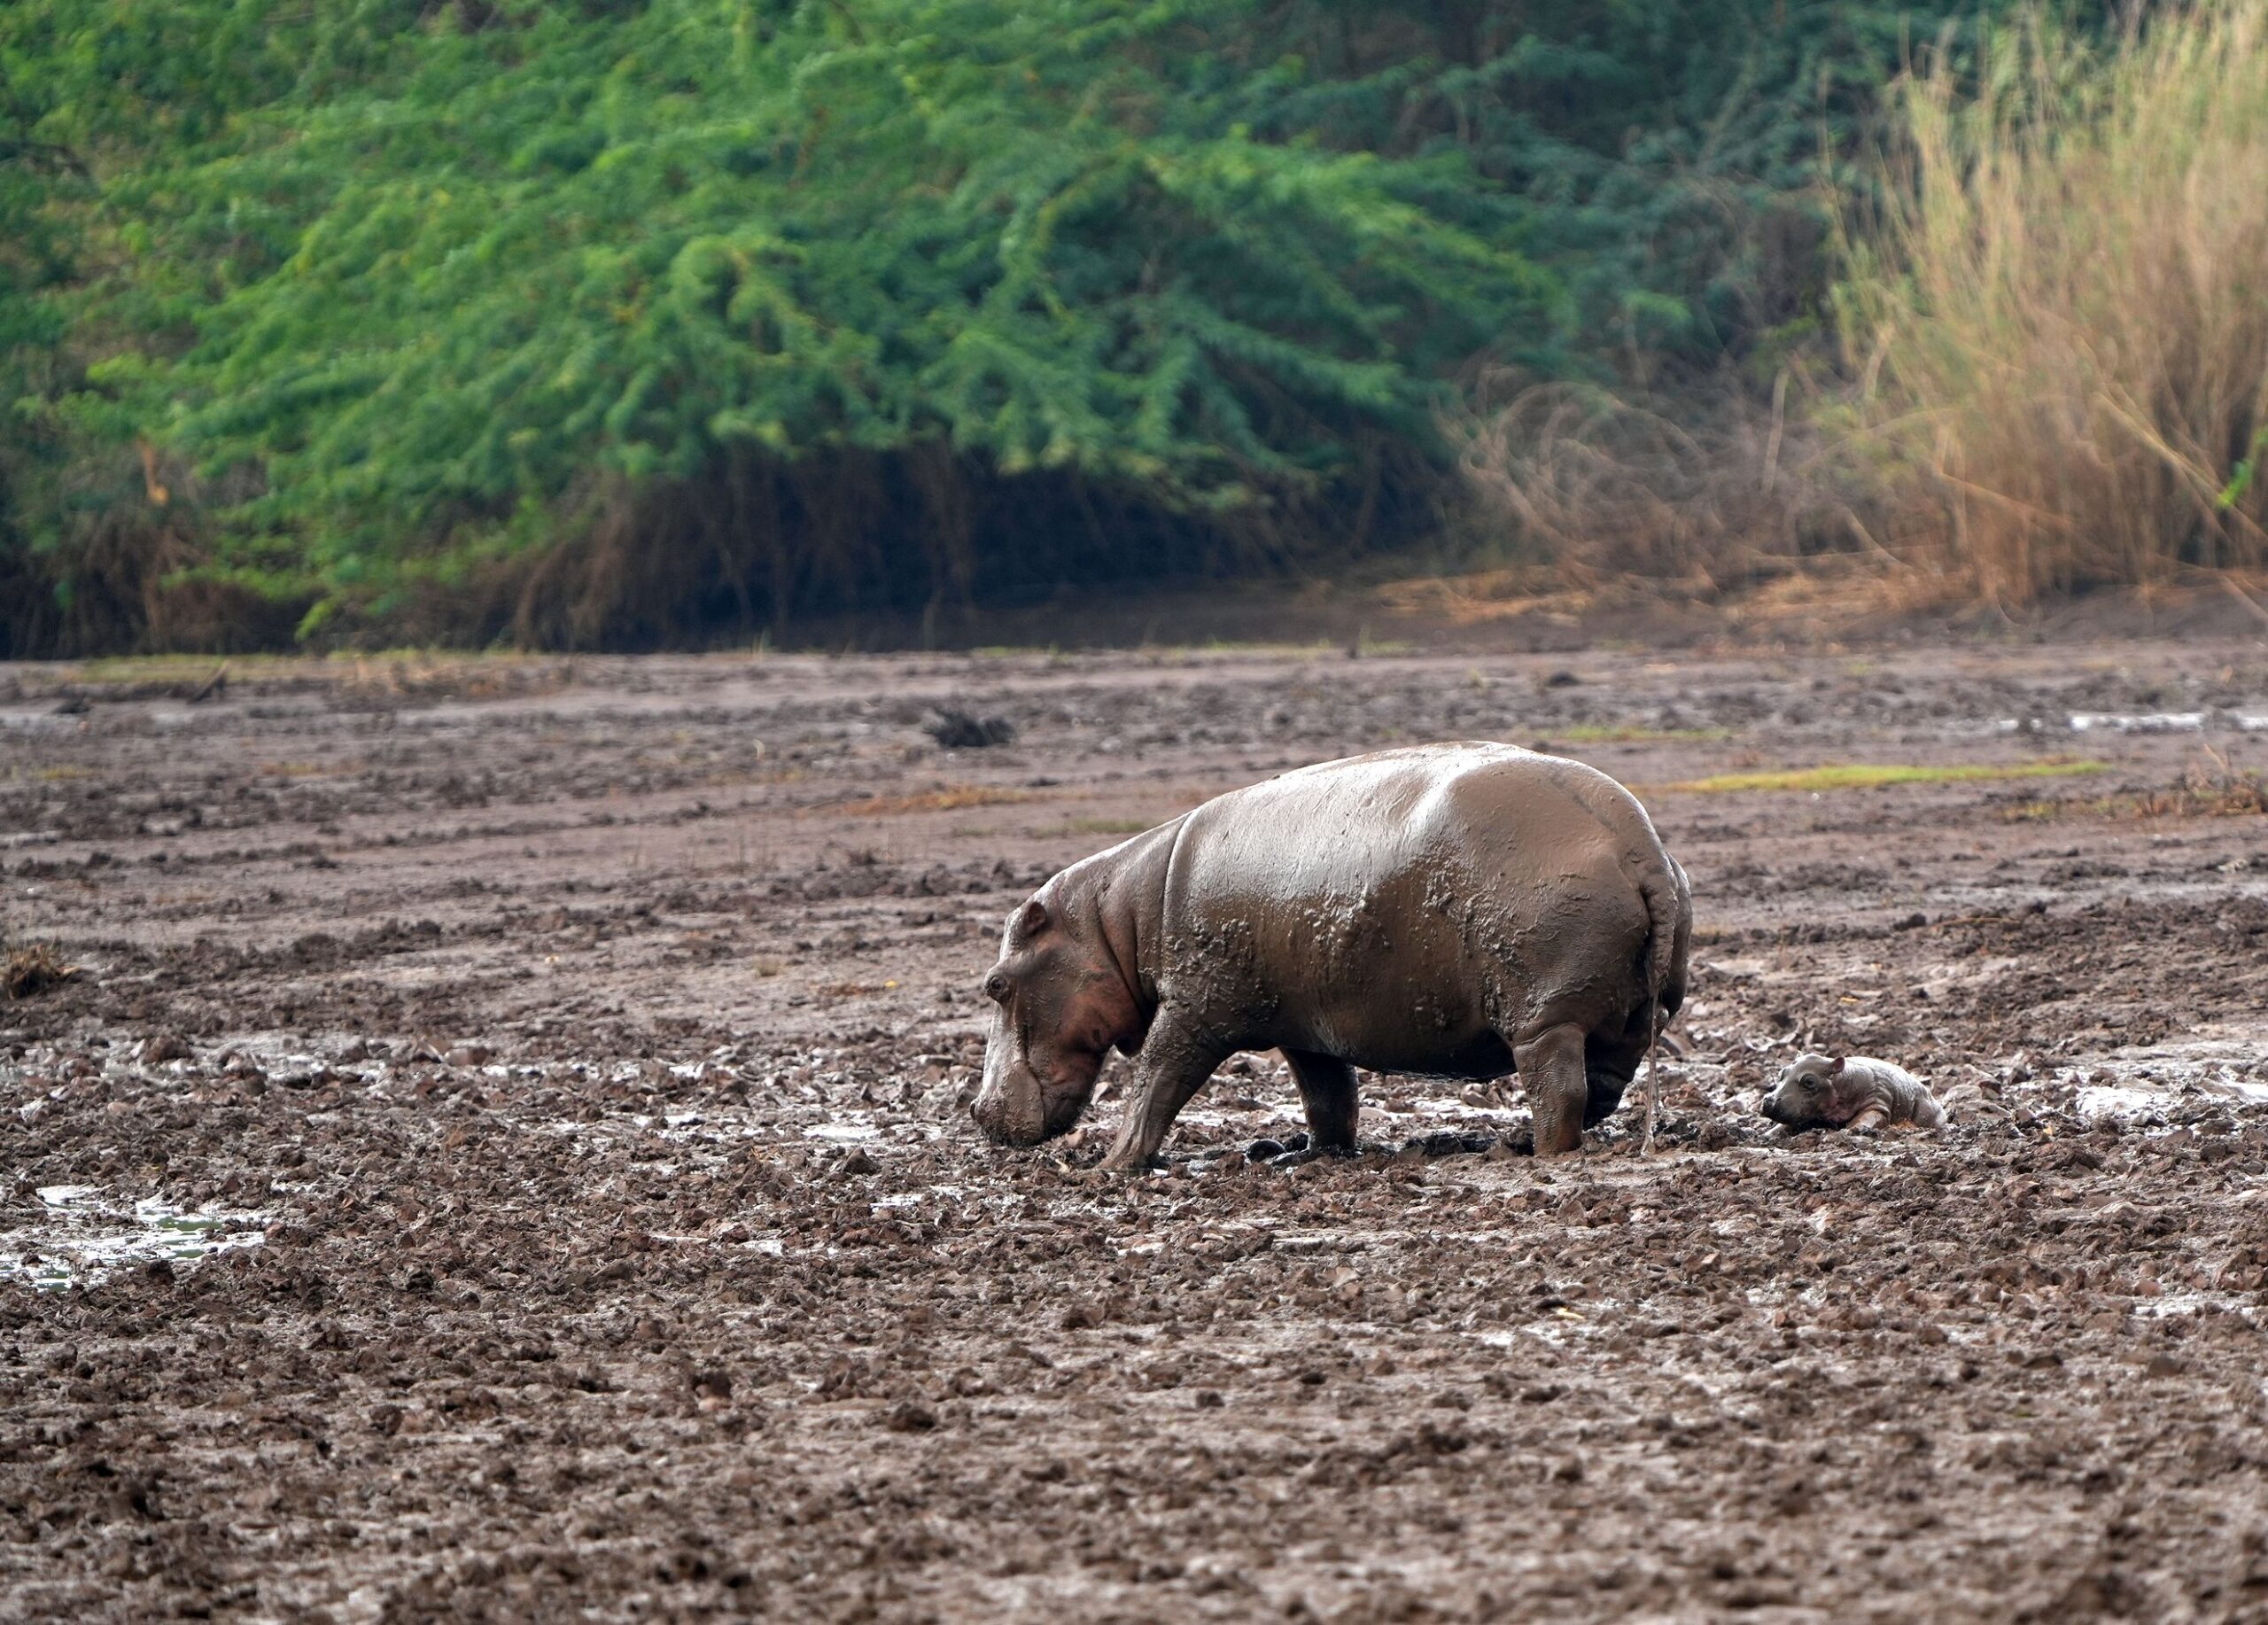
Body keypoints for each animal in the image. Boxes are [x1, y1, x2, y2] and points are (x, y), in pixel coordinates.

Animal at [970, 742, 1692, 1169]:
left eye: (995, 985)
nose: (976, 1112)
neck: (1114, 918)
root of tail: (1639, 846)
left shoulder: (1195, 1008)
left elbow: (1157, 1079)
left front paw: (1111, 1167)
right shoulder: (1303, 1025)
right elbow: (1328, 1094)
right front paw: (1309, 1155)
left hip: (1544, 1017)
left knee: (1560, 1089)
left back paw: (1536, 1154)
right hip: (1628, 1012)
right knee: (1604, 1084)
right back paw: (1514, 1143)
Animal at [1762, 1053, 1945, 1133]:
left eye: (1809, 1082)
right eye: (1782, 1073)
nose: (1769, 1101)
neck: (1841, 1081)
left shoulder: (1878, 1099)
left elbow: (1868, 1116)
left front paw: (1851, 1132)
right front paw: (1768, 1135)